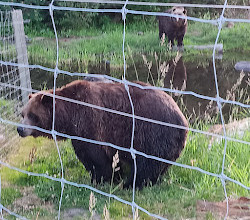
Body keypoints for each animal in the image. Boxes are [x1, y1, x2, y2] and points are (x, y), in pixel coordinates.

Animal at [16, 80, 188, 188]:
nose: (20, 129)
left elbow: (94, 156)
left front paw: (101, 178)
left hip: (151, 131)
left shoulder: (90, 123)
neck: (69, 115)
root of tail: (182, 120)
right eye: (22, 114)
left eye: (32, 115)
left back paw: (132, 184)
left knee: (147, 162)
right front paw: (114, 175)